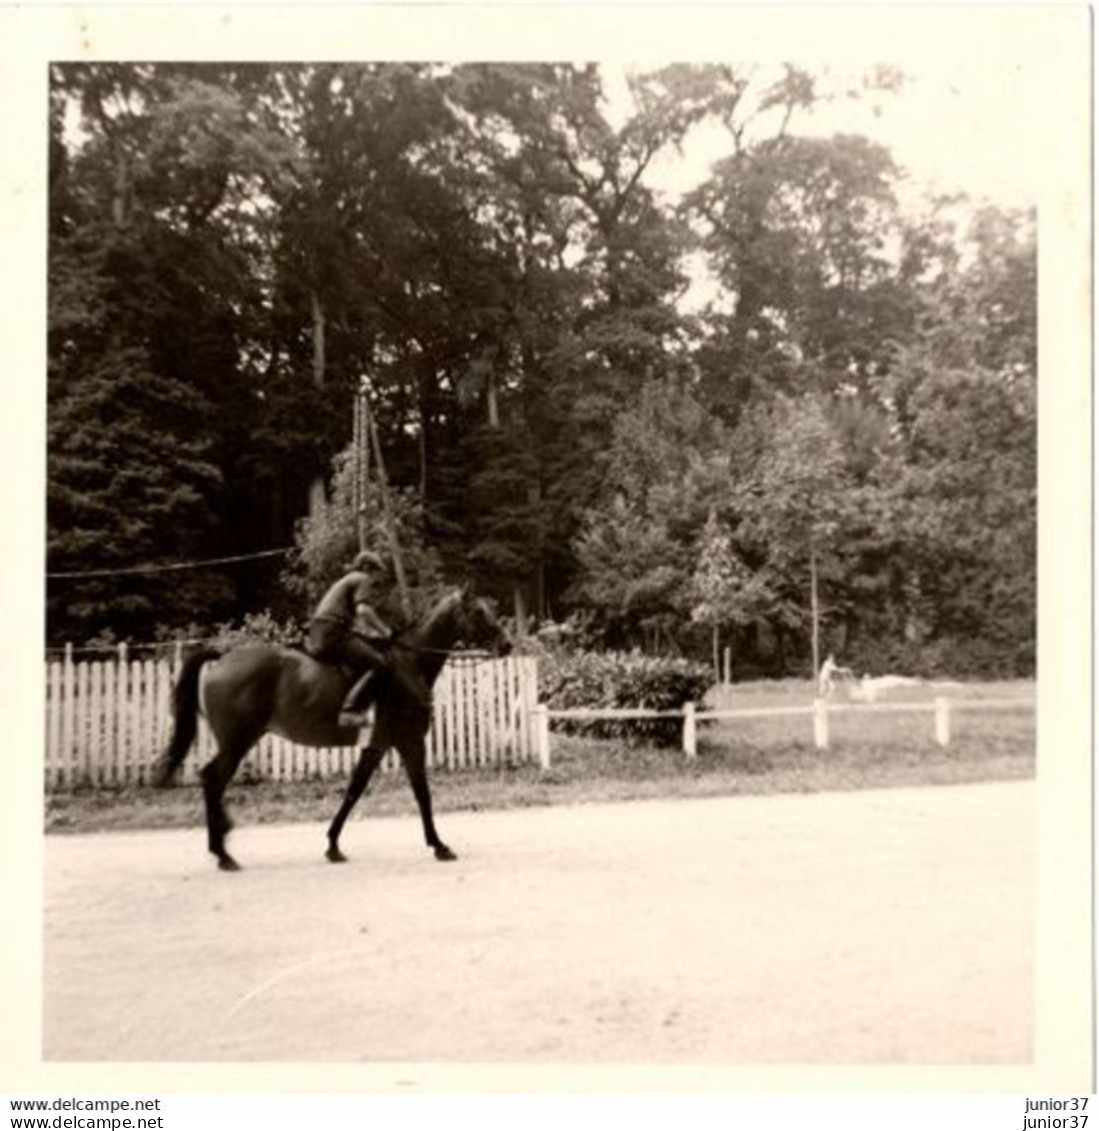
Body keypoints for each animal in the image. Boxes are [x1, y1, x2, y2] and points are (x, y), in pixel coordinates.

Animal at [152, 588, 513, 868]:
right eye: (479, 613)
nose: (507, 644)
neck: (409, 665)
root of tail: (222, 657)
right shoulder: (410, 740)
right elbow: (422, 793)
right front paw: (440, 846)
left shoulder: (379, 743)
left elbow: (355, 789)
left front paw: (332, 845)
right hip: (238, 740)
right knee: (213, 779)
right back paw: (222, 852)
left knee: (212, 780)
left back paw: (221, 844)